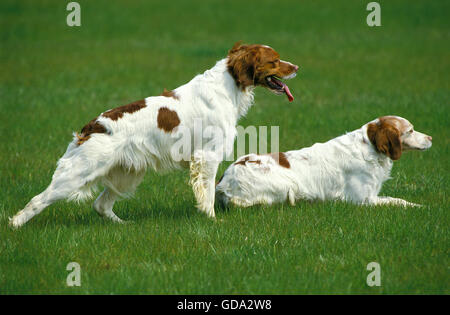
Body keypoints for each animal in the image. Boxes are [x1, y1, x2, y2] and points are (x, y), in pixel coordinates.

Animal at [9, 43, 298, 228]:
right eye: (274, 61)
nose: (296, 66)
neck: (228, 86)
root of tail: (91, 126)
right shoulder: (207, 156)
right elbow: (207, 196)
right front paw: (212, 220)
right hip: (79, 173)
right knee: (38, 200)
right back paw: (14, 225)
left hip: (127, 173)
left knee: (101, 205)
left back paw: (123, 225)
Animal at [217, 115, 432, 207]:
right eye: (410, 130)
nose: (431, 138)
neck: (369, 147)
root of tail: (224, 182)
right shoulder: (363, 199)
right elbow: (398, 201)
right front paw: (418, 207)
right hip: (287, 184)